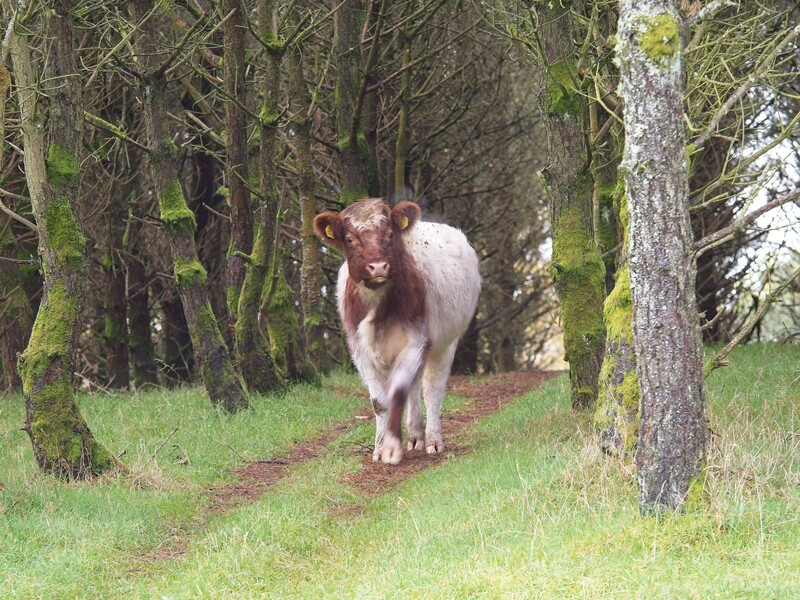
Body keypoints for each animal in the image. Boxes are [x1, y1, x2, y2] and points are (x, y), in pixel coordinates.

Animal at [313, 199, 481, 465]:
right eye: (350, 239)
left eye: (390, 234)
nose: (379, 266)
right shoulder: (360, 351)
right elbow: (379, 401)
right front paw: (380, 447)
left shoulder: (415, 341)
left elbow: (399, 392)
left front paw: (392, 447)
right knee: (414, 386)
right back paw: (415, 435)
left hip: (444, 343)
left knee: (432, 389)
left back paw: (433, 439)